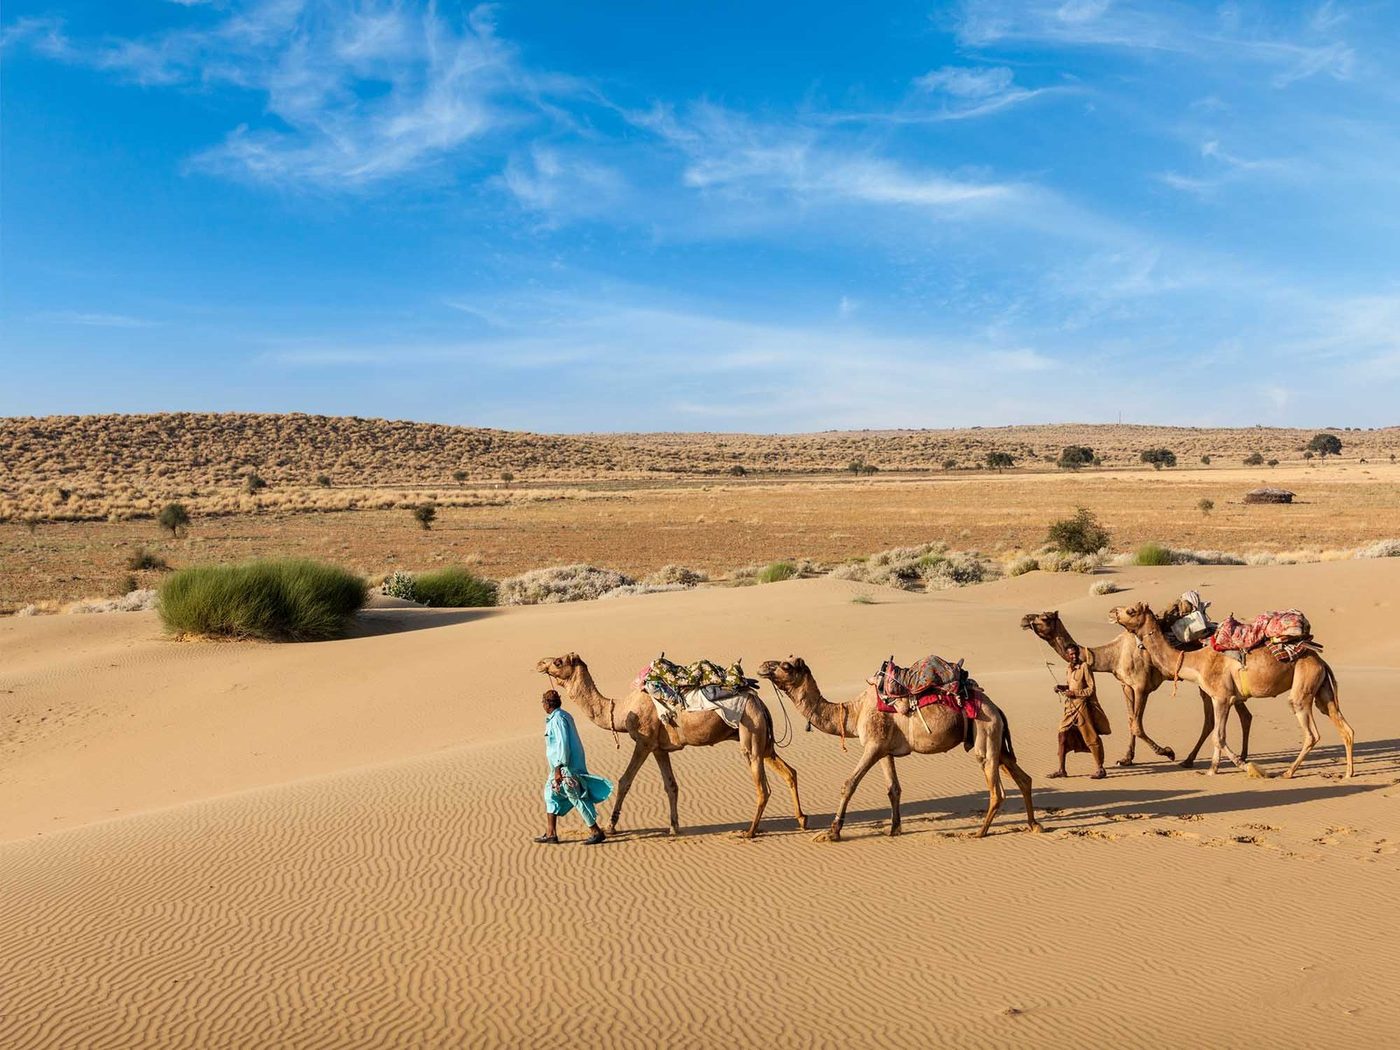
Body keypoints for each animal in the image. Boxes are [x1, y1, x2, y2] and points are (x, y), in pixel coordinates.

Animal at [536, 653, 807, 838]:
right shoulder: (659, 748)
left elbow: (625, 781)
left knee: (763, 787)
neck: (622, 711)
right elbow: (671, 785)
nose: (540, 662)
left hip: (749, 733)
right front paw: (674, 827)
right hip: (763, 741)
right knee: (789, 772)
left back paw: (750, 832)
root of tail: (760, 703)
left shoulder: (644, 742)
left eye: (558, 662)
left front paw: (610, 826)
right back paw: (802, 820)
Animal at [757, 657, 1040, 840]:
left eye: (785, 665)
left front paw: (832, 832)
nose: (762, 666)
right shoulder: (885, 750)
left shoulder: (872, 745)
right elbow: (893, 788)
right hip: (997, 741)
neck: (853, 712)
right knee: (1023, 778)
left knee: (996, 790)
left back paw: (978, 832)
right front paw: (894, 829)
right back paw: (1034, 824)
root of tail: (997, 709)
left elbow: (849, 784)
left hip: (986, 733)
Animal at [1021, 610, 1253, 768]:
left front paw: (1166, 752)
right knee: (1241, 715)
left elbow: (1137, 726)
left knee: (1217, 717)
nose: (1024, 619)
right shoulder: (1126, 686)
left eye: (1044, 618)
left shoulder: (1141, 686)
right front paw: (1126, 759)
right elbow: (1131, 720)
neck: (1114, 655)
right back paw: (1229, 757)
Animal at [1108, 604, 1355, 778]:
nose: (1112, 611)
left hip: (1302, 687)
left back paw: (1288, 772)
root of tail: (1321, 661)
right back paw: (1348, 773)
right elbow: (1217, 733)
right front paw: (1213, 769)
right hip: (1322, 691)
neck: (1196, 661)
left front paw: (1245, 767)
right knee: (1345, 727)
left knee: (1311, 732)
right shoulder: (1220, 698)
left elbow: (1218, 736)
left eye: (1131, 610)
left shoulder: (1222, 696)